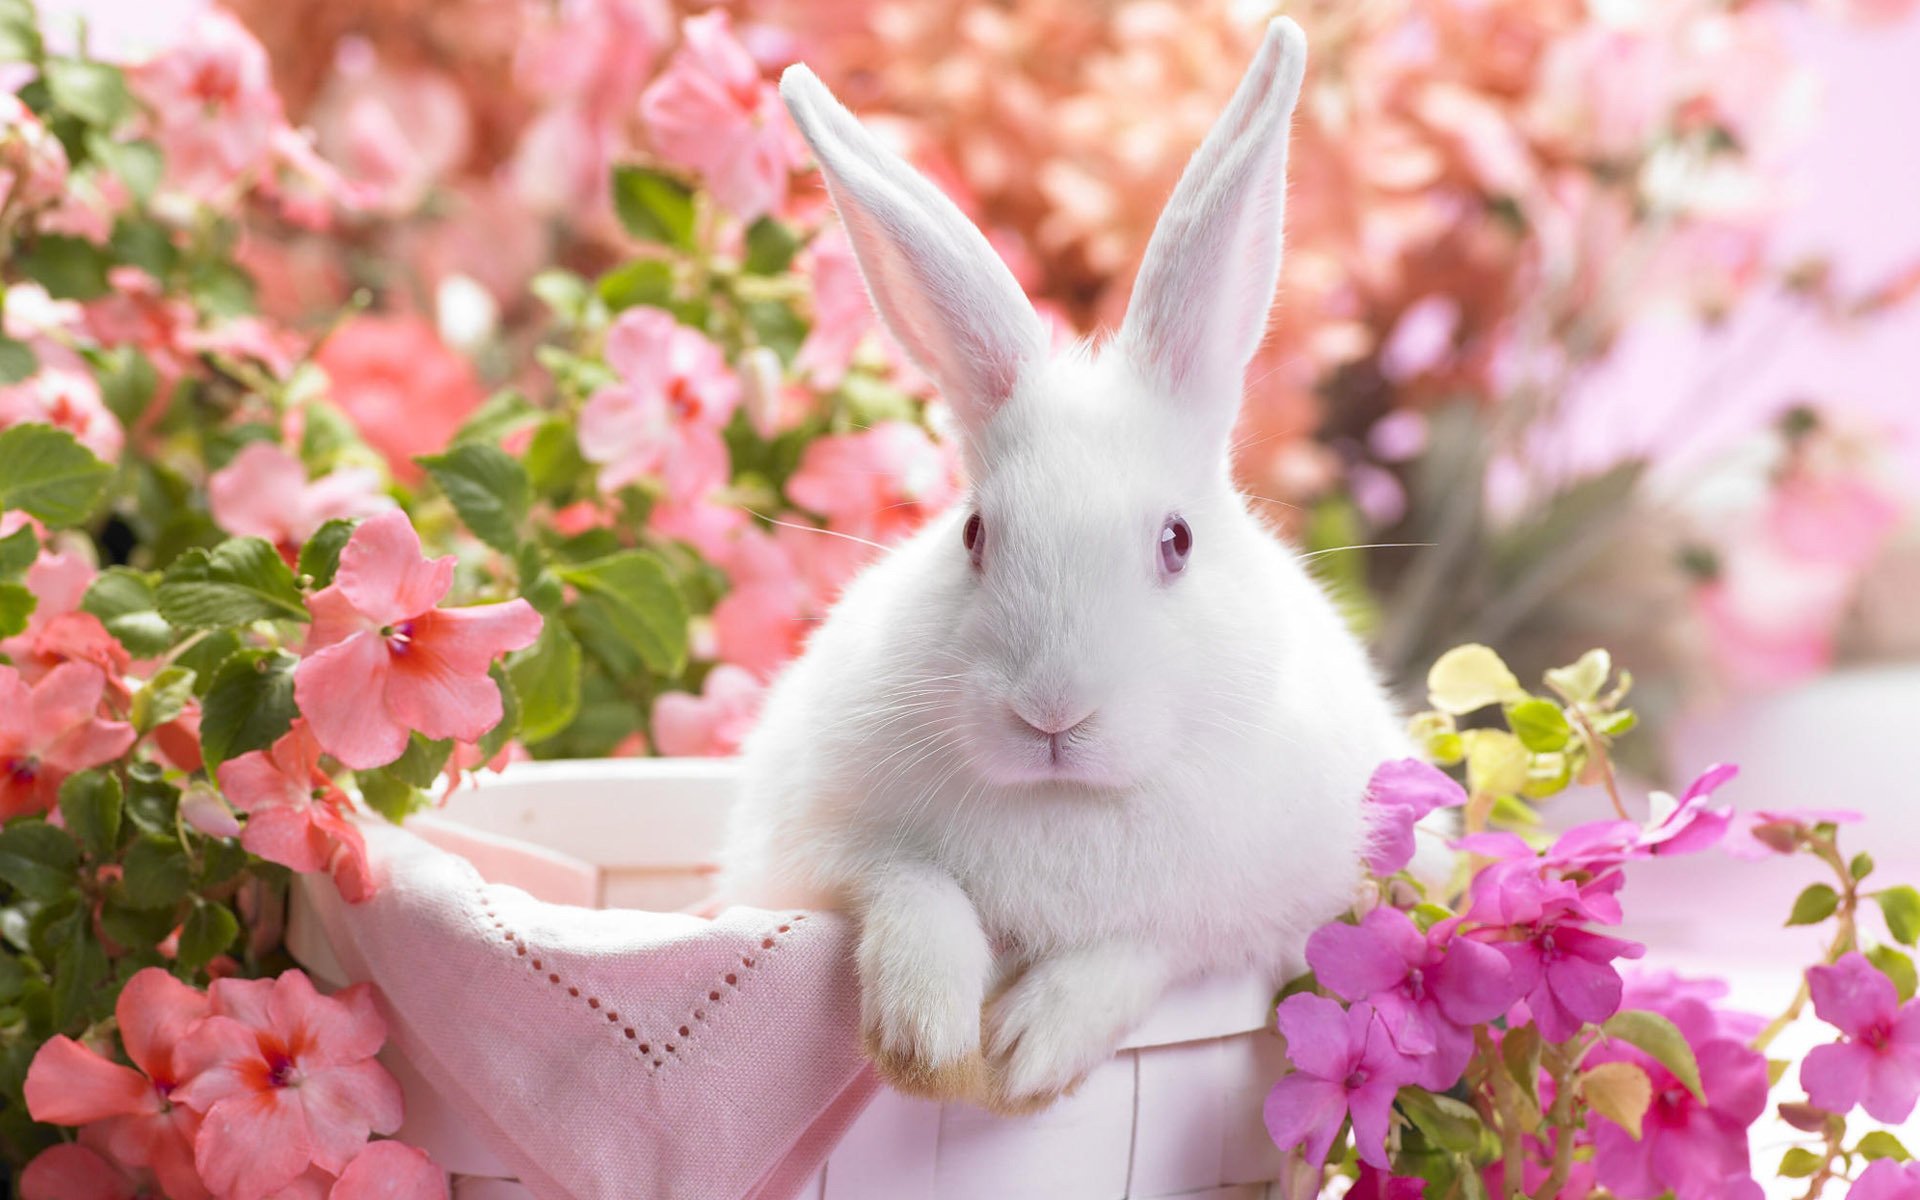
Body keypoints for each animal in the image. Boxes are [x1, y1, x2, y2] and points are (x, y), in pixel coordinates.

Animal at [721, 16, 1413, 1113]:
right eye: (973, 534)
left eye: (1177, 541)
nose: (1052, 713)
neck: (1064, 804)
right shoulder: (814, 847)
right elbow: (910, 885)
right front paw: (927, 1039)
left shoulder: (1254, 916)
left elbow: (1140, 948)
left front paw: (1026, 1052)